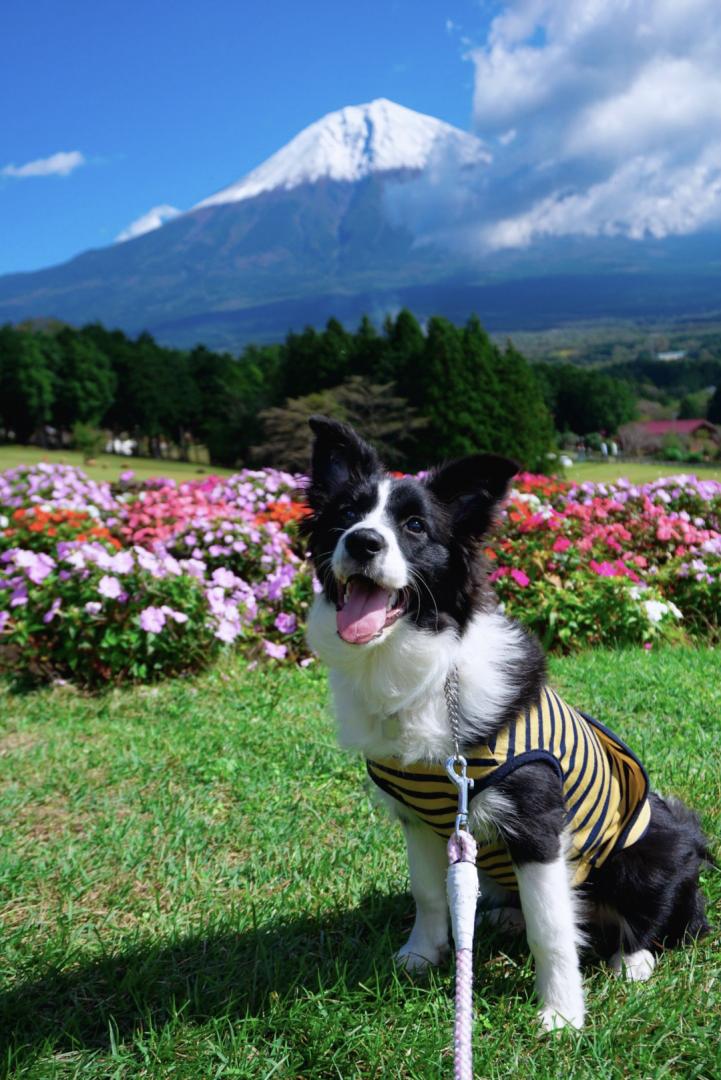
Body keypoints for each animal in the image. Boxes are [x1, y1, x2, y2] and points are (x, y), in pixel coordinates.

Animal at [302, 412, 708, 1028]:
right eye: (346, 515)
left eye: (415, 526)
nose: (363, 541)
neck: (424, 670)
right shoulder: (419, 817)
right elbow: (428, 893)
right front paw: (422, 954)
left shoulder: (540, 824)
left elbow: (553, 928)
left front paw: (562, 1014)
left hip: (649, 851)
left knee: (659, 916)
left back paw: (632, 958)